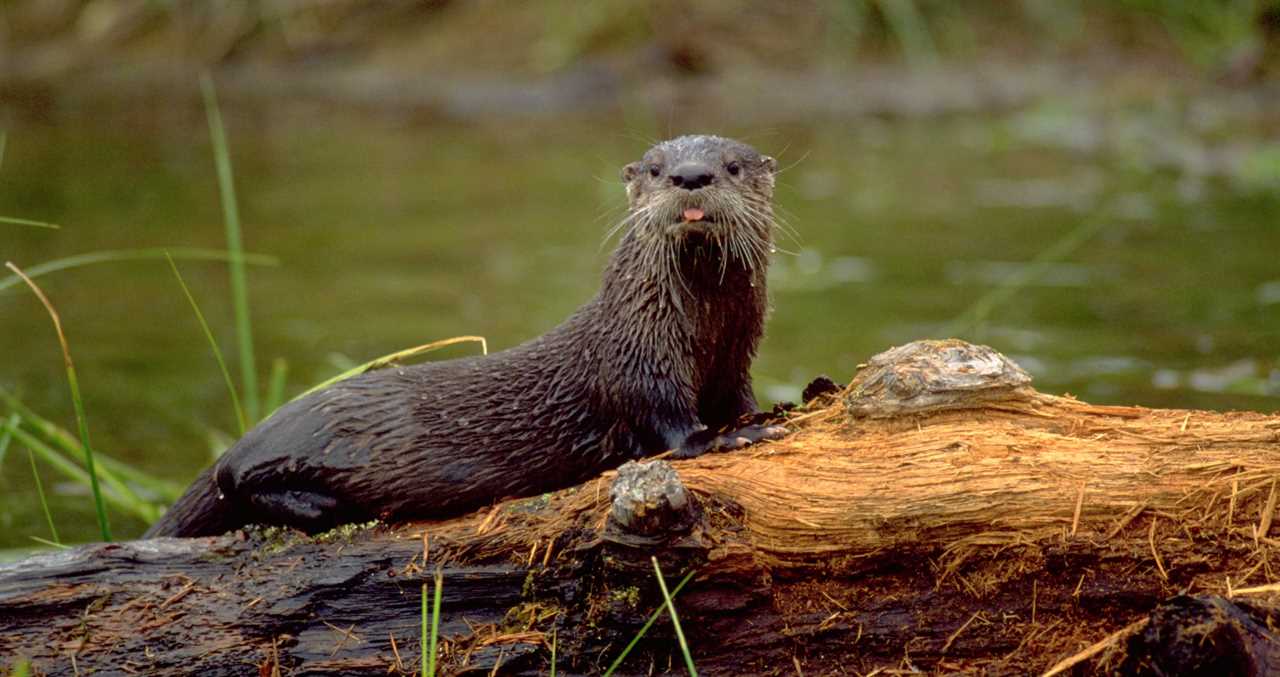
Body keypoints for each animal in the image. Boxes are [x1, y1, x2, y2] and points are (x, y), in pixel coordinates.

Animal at [146, 135, 786, 538]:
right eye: (655, 169)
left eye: (732, 165)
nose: (690, 176)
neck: (700, 327)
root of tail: (246, 436)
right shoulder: (637, 357)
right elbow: (670, 423)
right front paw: (726, 438)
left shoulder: (737, 355)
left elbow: (737, 395)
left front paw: (762, 415)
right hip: (292, 447)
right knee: (234, 481)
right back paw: (316, 503)